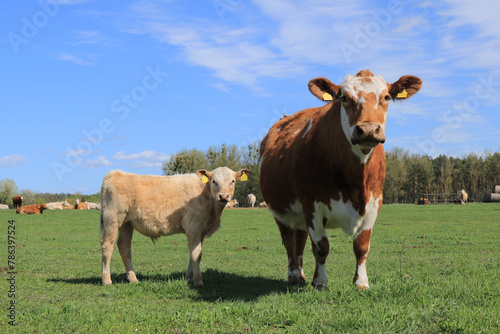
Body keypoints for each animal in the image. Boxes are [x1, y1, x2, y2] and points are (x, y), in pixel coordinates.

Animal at [100, 167, 252, 288]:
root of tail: (116, 173)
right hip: (113, 219)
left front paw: (189, 277)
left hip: (127, 223)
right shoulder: (193, 227)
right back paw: (107, 280)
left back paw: (133, 278)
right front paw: (198, 281)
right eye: (214, 181)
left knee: (124, 247)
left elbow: (193, 253)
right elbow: (197, 254)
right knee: (108, 246)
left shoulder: (200, 231)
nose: (223, 196)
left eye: (232, 181)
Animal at [260, 68, 420, 290]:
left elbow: (361, 246)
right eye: (344, 98)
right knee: (289, 241)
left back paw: (301, 274)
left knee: (300, 239)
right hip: (281, 210)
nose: (368, 129)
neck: (355, 182)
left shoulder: (374, 203)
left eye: (386, 97)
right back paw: (294, 274)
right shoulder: (311, 204)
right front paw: (320, 281)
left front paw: (361, 282)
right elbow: (321, 247)